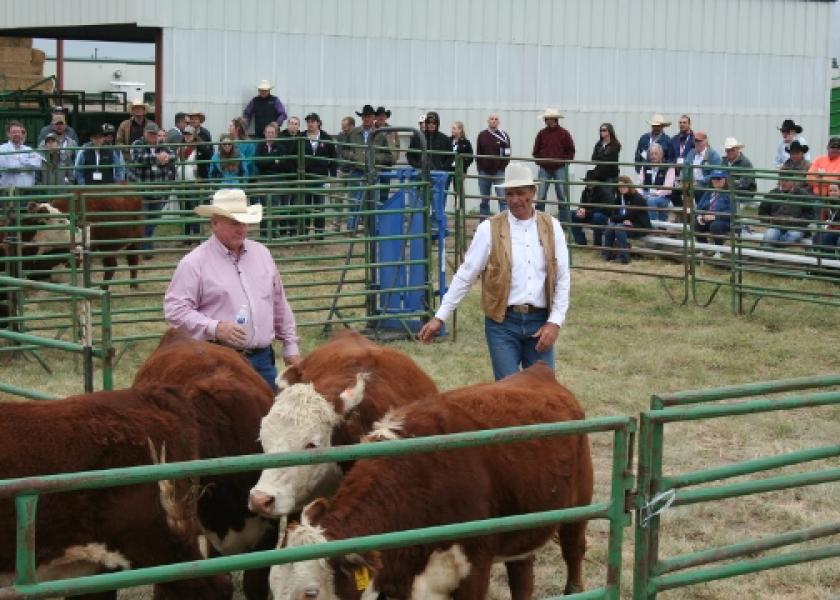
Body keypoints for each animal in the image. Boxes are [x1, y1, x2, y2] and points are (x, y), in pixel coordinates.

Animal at [270, 364, 592, 596]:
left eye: (310, 592)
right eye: (272, 586)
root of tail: (539, 372)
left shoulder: (474, 569)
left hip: (578, 506)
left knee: (574, 551)